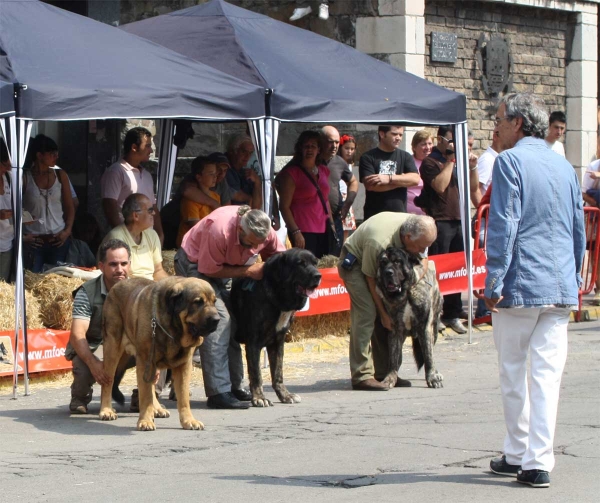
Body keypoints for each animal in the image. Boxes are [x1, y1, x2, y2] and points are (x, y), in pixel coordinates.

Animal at [98, 278, 220, 432]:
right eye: (197, 302)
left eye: (214, 302)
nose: (217, 319)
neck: (174, 329)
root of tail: (116, 285)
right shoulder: (144, 361)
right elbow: (145, 396)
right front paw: (145, 421)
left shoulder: (183, 365)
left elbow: (183, 397)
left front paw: (188, 421)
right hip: (112, 348)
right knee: (108, 382)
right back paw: (106, 410)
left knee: (151, 386)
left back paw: (157, 409)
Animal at [231, 250, 324, 408]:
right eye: (300, 263)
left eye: (315, 263)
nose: (318, 275)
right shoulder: (254, 343)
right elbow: (256, 374)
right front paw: (259, 398)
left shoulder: (277, 342)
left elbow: (278, 372)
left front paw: (285, 395)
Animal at [378, 247, 442, 390]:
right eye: (383, 263)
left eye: (397, 262)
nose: (388, 272)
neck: (406, 292)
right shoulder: (395, 331)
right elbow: (393, 358)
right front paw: (390, 378)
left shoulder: (425, 327)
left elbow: (429, 356)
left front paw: (432, 377)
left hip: (434, 328)